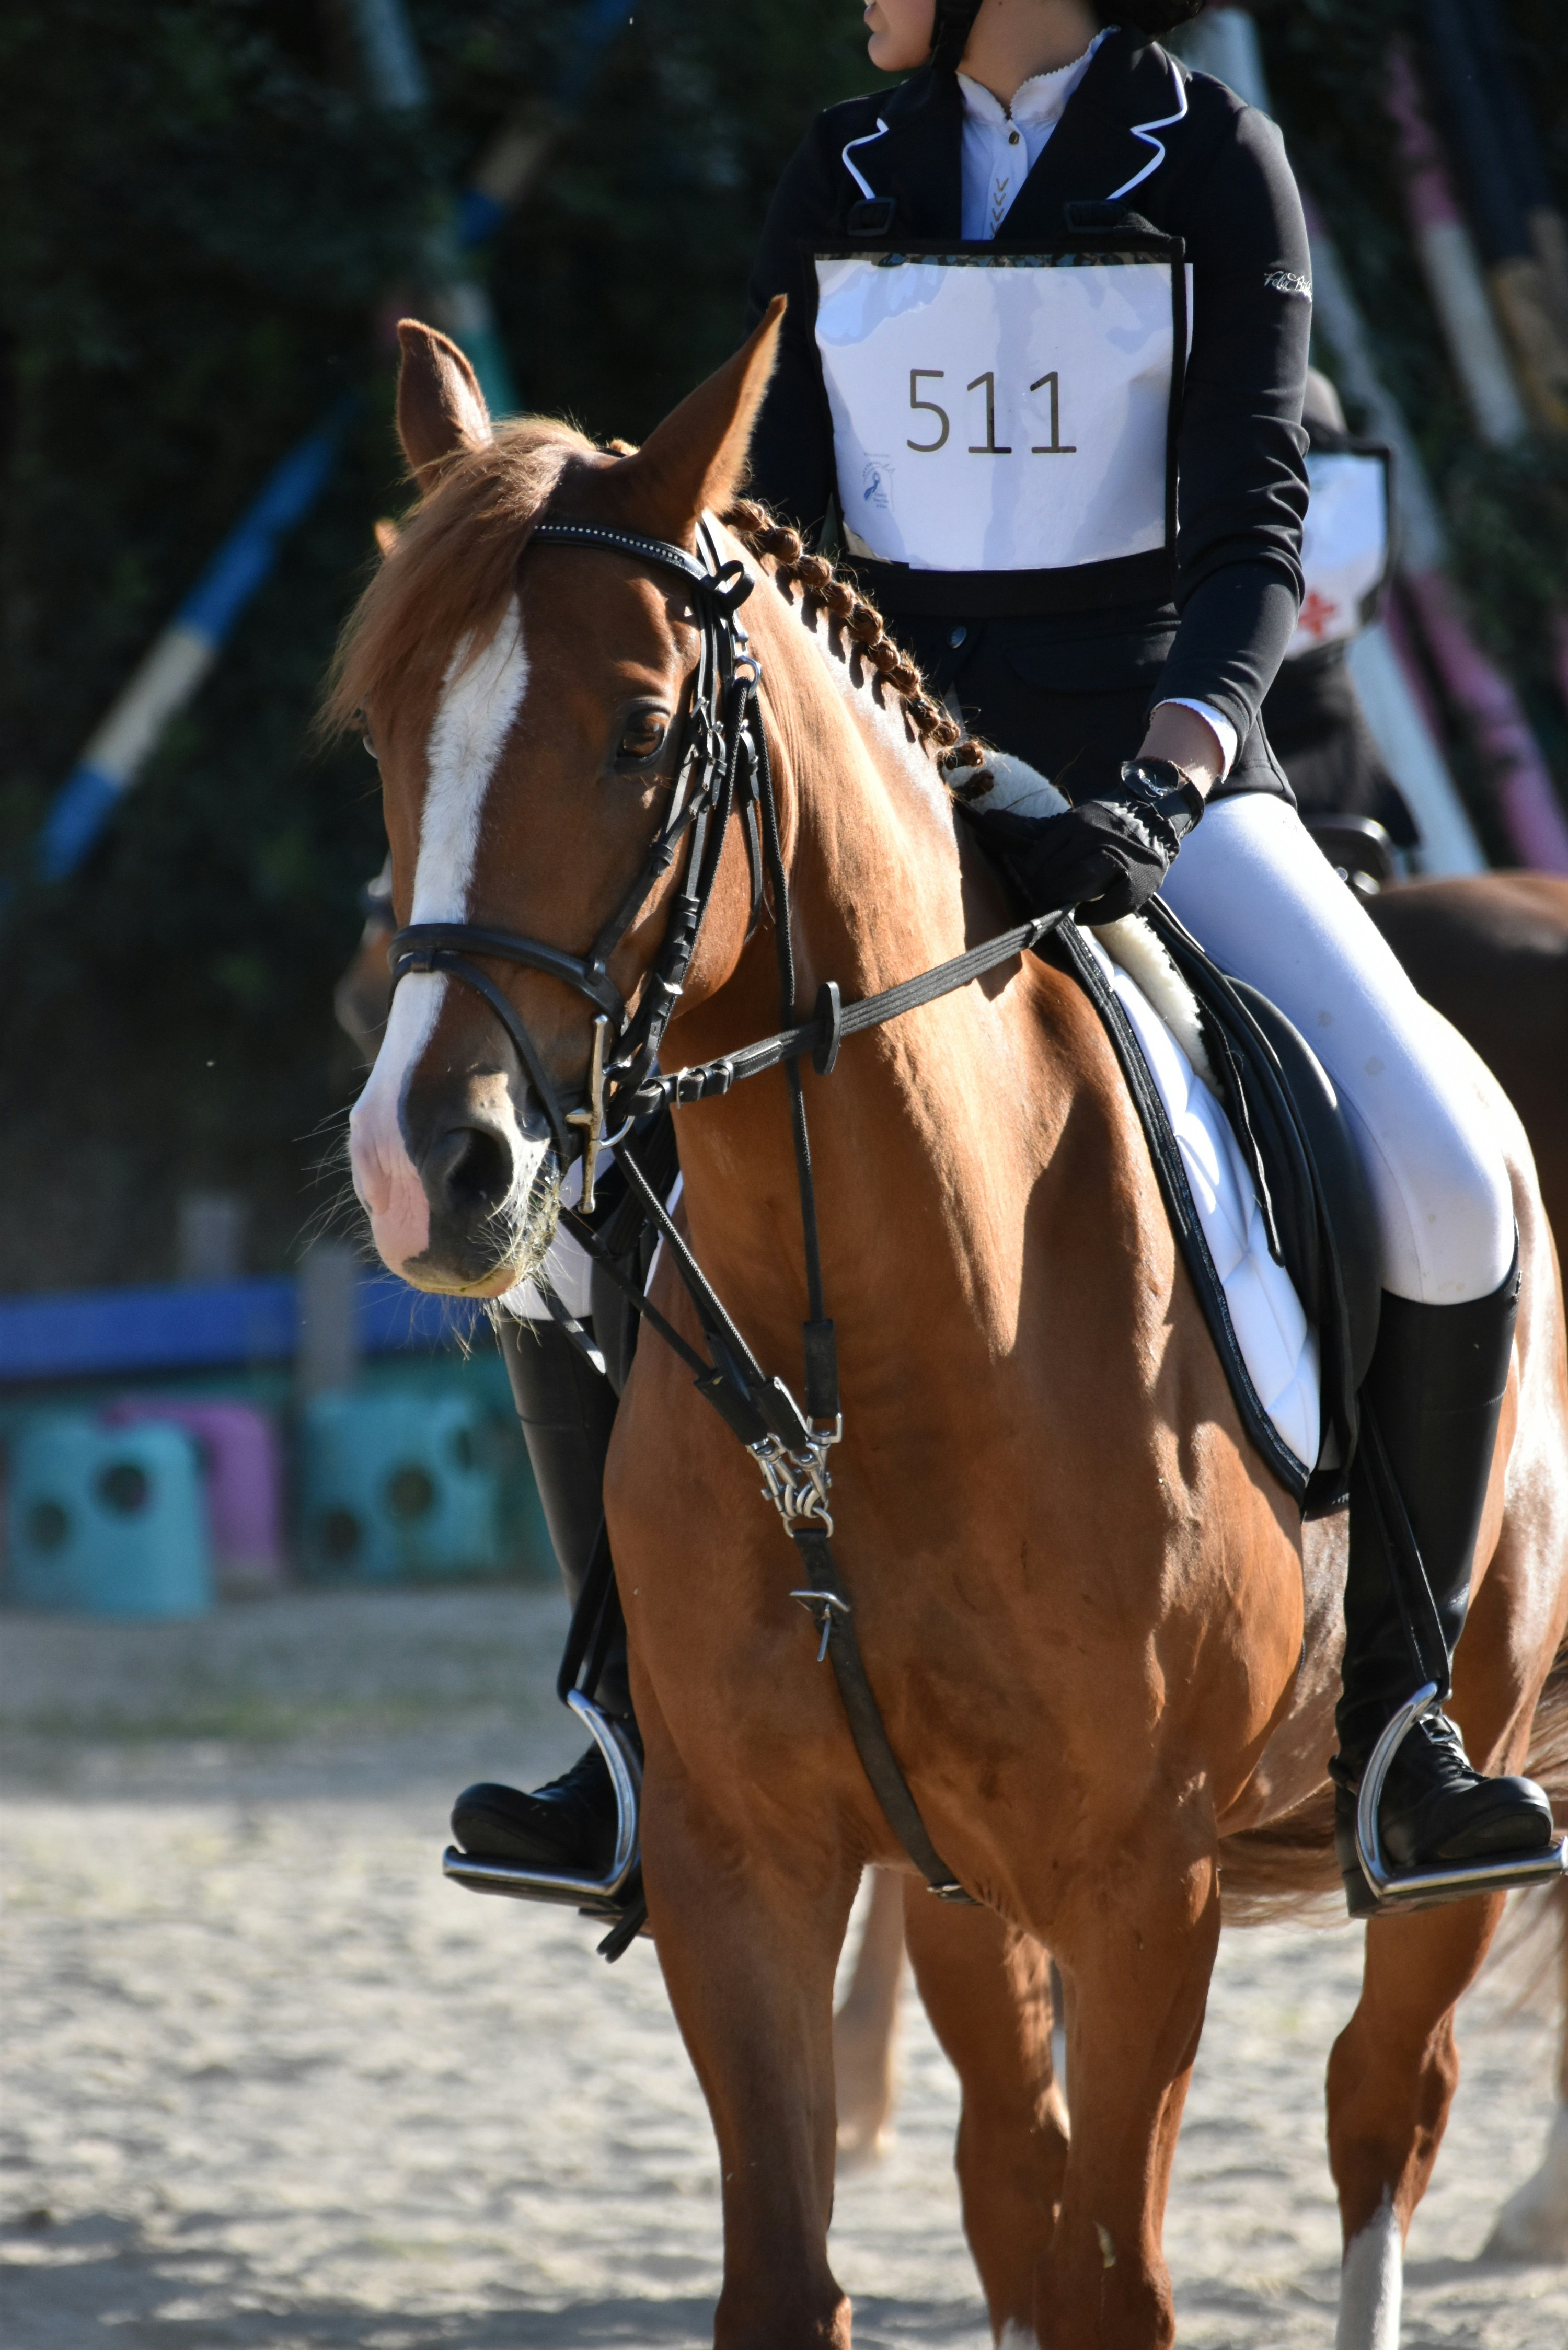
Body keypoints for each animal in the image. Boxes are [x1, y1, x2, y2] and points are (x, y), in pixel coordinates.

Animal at [334, 305, 1568, 2350]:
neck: (884, 1344)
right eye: (385, 732)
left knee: (1380, 2107)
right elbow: (813, 2263)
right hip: (957, 1889)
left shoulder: (1141, 1889)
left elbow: (1118, 2277)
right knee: (1015, 2169)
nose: (433, 1164)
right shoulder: (746, 1864)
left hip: (1452, 1800)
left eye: (643, 732)